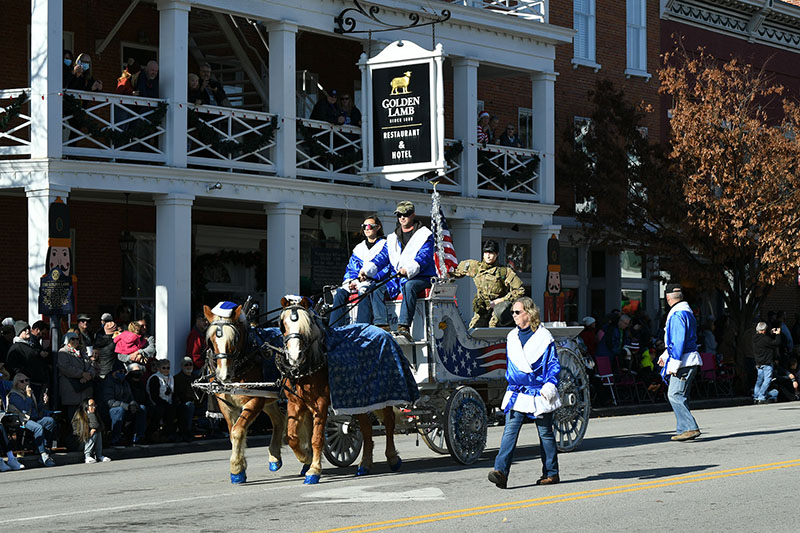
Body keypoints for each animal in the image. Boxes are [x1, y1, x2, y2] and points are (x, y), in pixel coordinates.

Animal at [205, 304, 290, 482]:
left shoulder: (255, 400)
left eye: (234, 340)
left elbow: (238, 431)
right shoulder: (226, 405)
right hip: (269, 398)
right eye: (212, 341)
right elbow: (232, 433)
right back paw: (274, 458)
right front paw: (240, 466)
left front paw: (236, 470)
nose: (223, 375)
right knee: (279, 419)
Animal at [276, 298, 404, 484]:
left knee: (389, 422)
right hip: (357, 401)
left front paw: (313, 470)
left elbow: (317, 438)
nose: (295, 356)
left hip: (384, 394)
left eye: (307, 326)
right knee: (366, 427)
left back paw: (393, 458)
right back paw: (365, 464)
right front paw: (305, 458)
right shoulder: (295, 403)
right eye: (282, 326)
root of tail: (383, 331)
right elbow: (292, 436)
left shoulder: (321, 403)